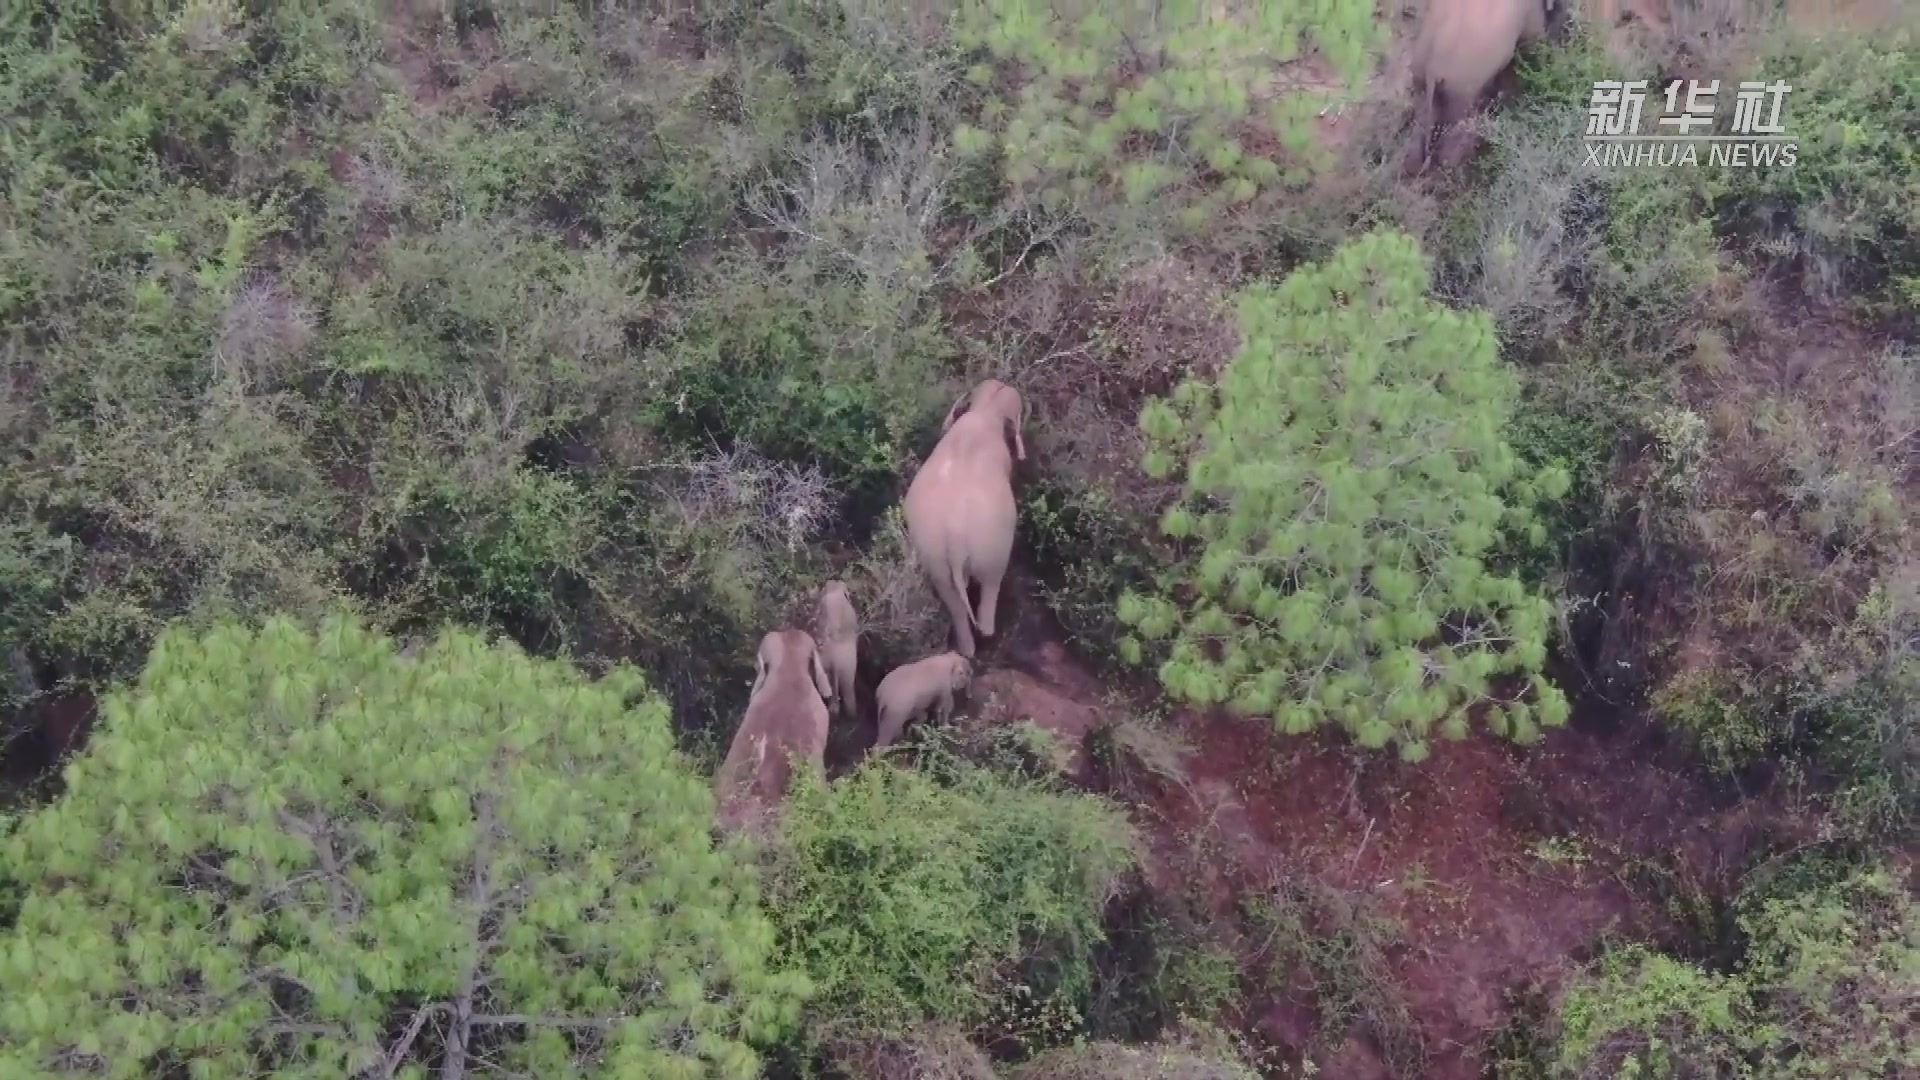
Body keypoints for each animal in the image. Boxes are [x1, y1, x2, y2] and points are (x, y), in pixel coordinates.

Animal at [906, 374, 1029, 661]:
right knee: (990, 590)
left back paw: (966, 651)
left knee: (954, 603)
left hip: (935, 557)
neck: (985, 411)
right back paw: (986, 636)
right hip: (993, 548)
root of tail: (955, 539)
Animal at [1405, 0, 1551, 176]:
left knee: (1422, 119)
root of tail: (1432, 68)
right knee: (1459, 124)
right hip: (1461, 85)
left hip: (1420, 76)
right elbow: (1534, 43)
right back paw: (1457, 163)